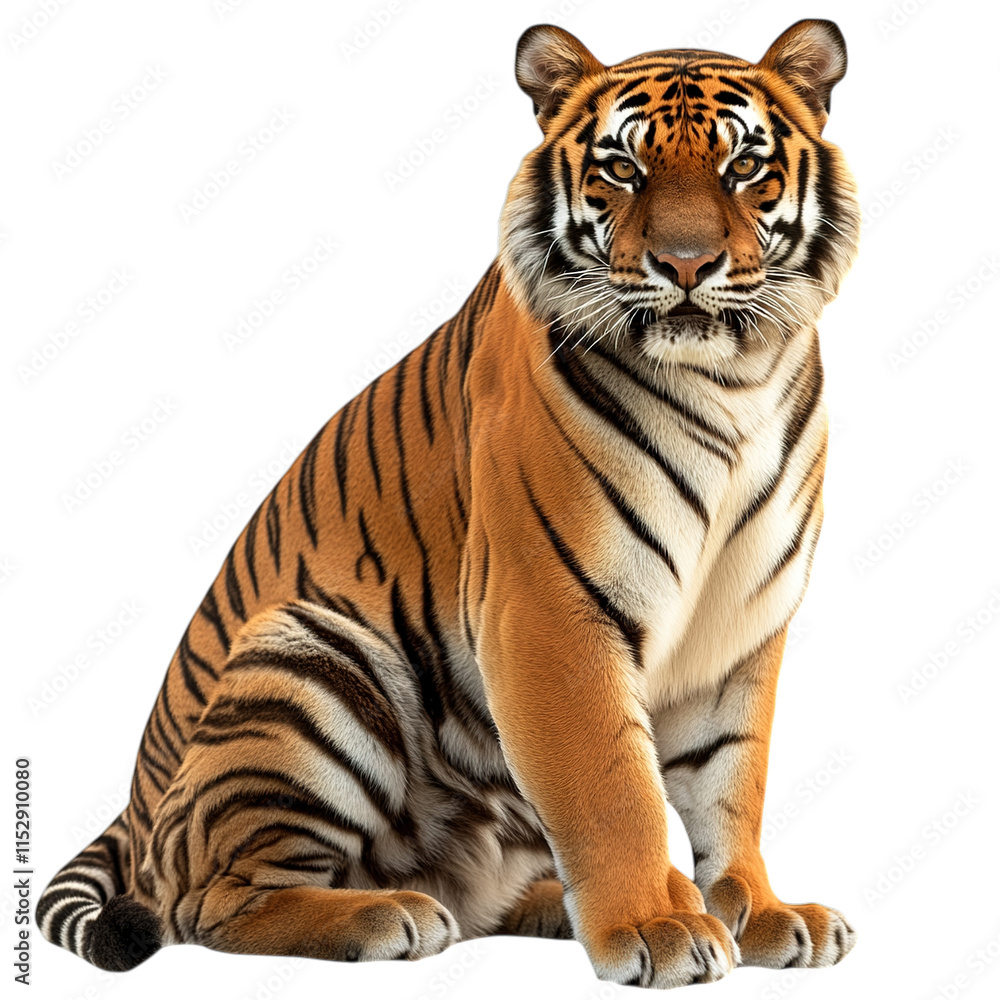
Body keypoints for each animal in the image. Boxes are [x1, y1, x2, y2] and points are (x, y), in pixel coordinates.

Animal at [38, 18, 861, 989]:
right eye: (623, 169)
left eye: (743, 167)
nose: (688, 265)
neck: (734, 380)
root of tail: (133, 809)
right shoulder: (550, 611)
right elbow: (613, 787)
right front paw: (657, 930)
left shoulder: (739, 626)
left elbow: (732, 785)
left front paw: (759, 913)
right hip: (312, 657)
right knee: (212, 901)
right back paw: (388, 914)